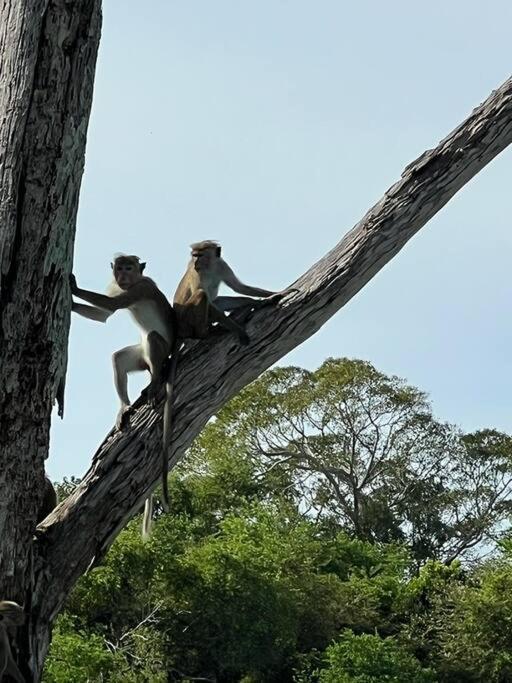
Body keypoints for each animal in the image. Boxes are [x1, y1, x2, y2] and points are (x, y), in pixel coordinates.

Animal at [70, 256, 178, 536]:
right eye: (119, 268)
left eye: (129, 267)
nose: (123, 275)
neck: (134, 282)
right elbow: (104, 314)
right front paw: (72, 302)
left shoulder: (140, 288)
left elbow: (112, 305)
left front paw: (72, 287)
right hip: (140, 357)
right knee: (118, 359)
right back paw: (125, 407)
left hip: (158, 351)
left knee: (153, 338)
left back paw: (156, 381)